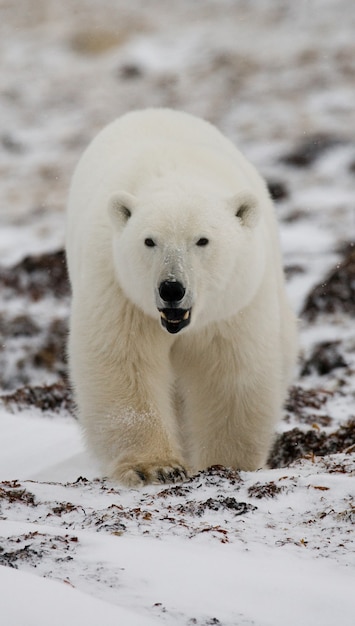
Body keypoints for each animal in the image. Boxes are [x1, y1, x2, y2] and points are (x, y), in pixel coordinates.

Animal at [66, 108, 298, 488]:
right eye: (149, 240)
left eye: (202, 240)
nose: (171, 289)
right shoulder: (120, 291)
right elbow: (124, 365)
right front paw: (154, 467)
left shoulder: (233, 306)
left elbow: (230, 375)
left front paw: (226, 462)